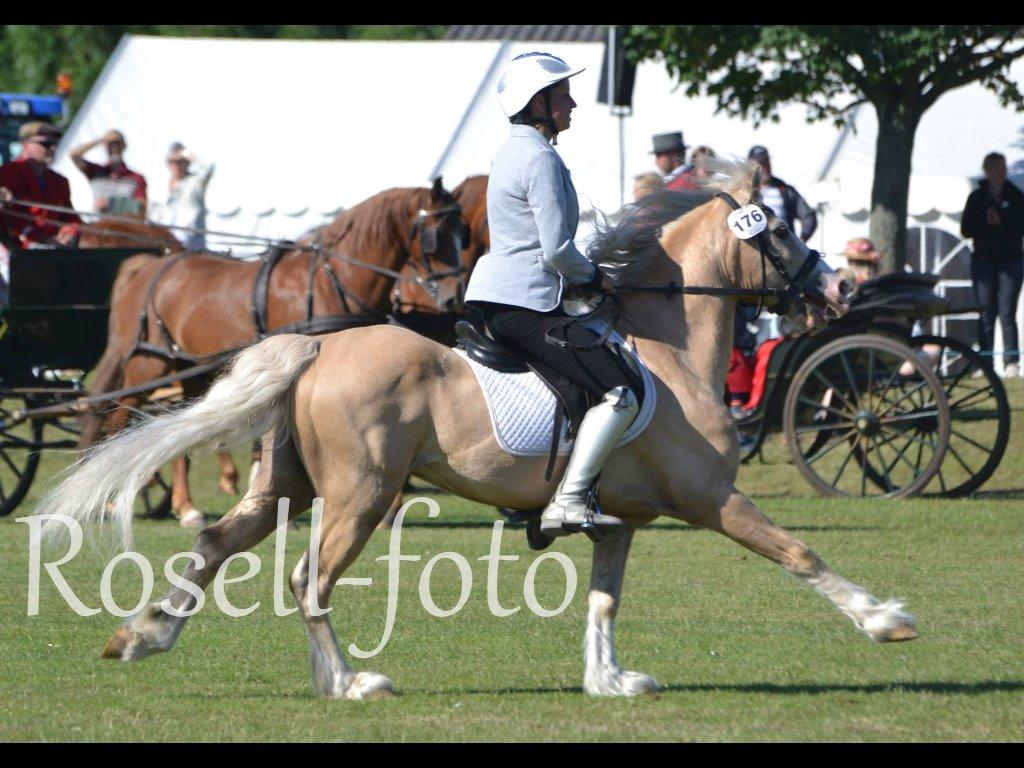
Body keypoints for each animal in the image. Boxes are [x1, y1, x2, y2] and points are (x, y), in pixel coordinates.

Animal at [78, 180, 464, 528]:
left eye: (462, 233)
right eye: (435, 233)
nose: (453, 297)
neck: (328, 281)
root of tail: (147, 266)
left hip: (192, 368)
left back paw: (185, 508)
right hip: (151, 363)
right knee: (119, 416)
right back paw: (113, 500)